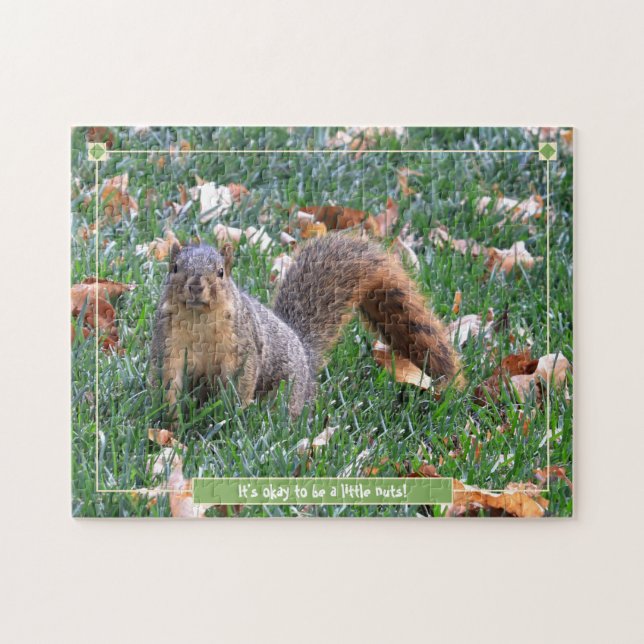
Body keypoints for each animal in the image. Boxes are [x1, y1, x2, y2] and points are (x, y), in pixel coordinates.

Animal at [150, 234, 464, 420]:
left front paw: (230, 414)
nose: (195, 286)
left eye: (220, 272)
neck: (198, 320)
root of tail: (303, 351)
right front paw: (171, 418)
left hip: (288, 388)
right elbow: (168, 380)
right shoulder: (168, 344)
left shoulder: (242, 347)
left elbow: (242, 380)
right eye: (174, 268)